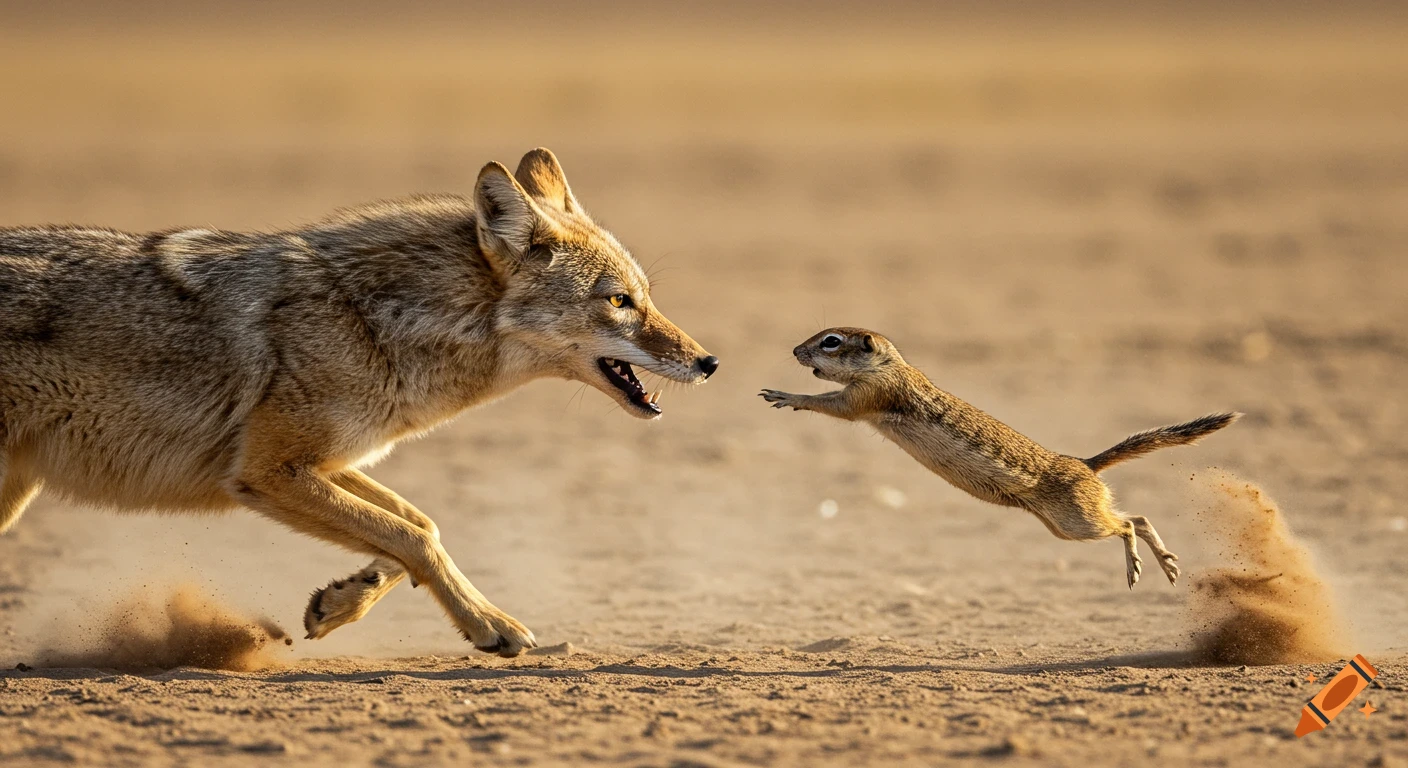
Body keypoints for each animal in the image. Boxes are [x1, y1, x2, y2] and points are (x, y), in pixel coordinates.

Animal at [760, 327, 1239, 588]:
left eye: (831, 341)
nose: (795, 351)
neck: (891, 366)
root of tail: (1086, 464)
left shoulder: (868, 396)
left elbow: (832, 404)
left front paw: (786, 395)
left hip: (1076, 522)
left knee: (1126, 523)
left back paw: (1139, 566)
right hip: (1064, 527)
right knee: (1135, 517)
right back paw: (1167, 563)